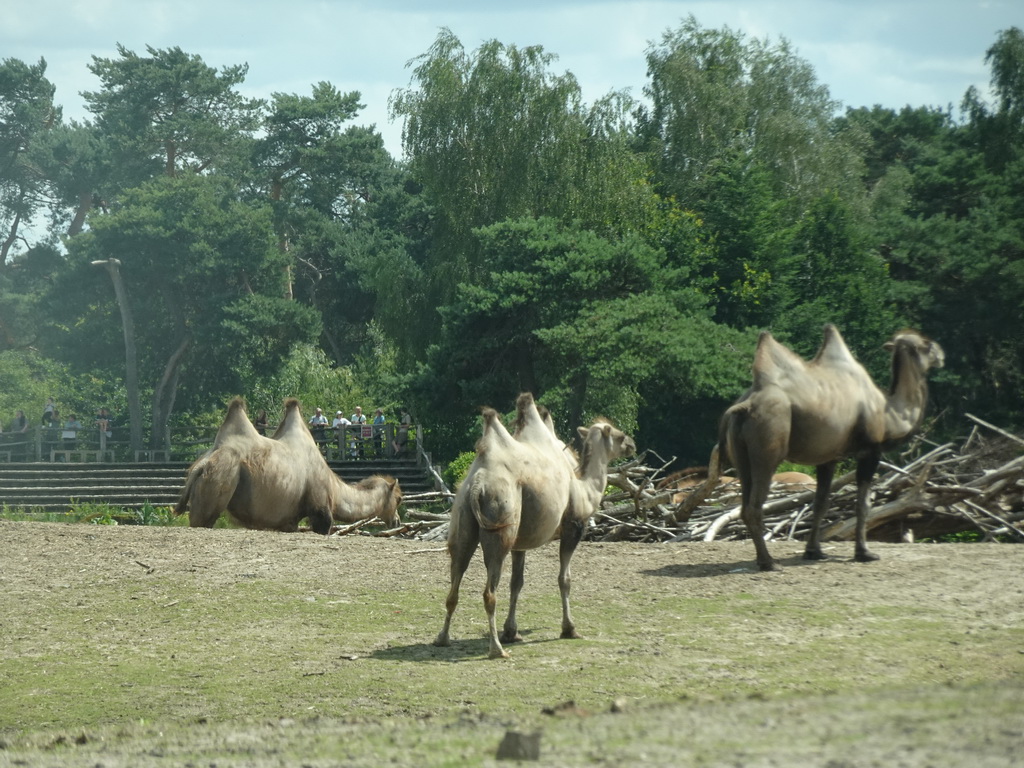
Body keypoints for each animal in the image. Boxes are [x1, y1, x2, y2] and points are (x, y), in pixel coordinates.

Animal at [174, 397, 401, 536]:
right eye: (399, 499)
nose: (397, 522)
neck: (335, 489)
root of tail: (201, 465)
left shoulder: (288, 521)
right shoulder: (320, 512)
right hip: (218, 480)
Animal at [434, 393, 638, 659]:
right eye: (618, 435)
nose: (632, 443)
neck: (585, 488)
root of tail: (478, 482)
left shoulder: (520, 543)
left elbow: (517, 583)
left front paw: (512, 632)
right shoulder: (573, 527)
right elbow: (564, 578)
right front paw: (569, 629)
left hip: (462, 521)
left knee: (454, 584)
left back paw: (442, 638)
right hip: (500, 522)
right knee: (489, 592)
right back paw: (496, 649)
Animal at [720, 325, 942, 573]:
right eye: (926, 344)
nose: (941, 355)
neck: (890, 414)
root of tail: (745, 404)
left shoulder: (828, 458)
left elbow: (821, 503)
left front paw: (814, 552)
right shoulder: (870, 451)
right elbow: (863, 505)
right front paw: (864, 553)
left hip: (741, 453)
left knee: (744, 501)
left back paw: (763, 559)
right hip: (769, 440)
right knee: (755, 504)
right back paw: (769, 562)